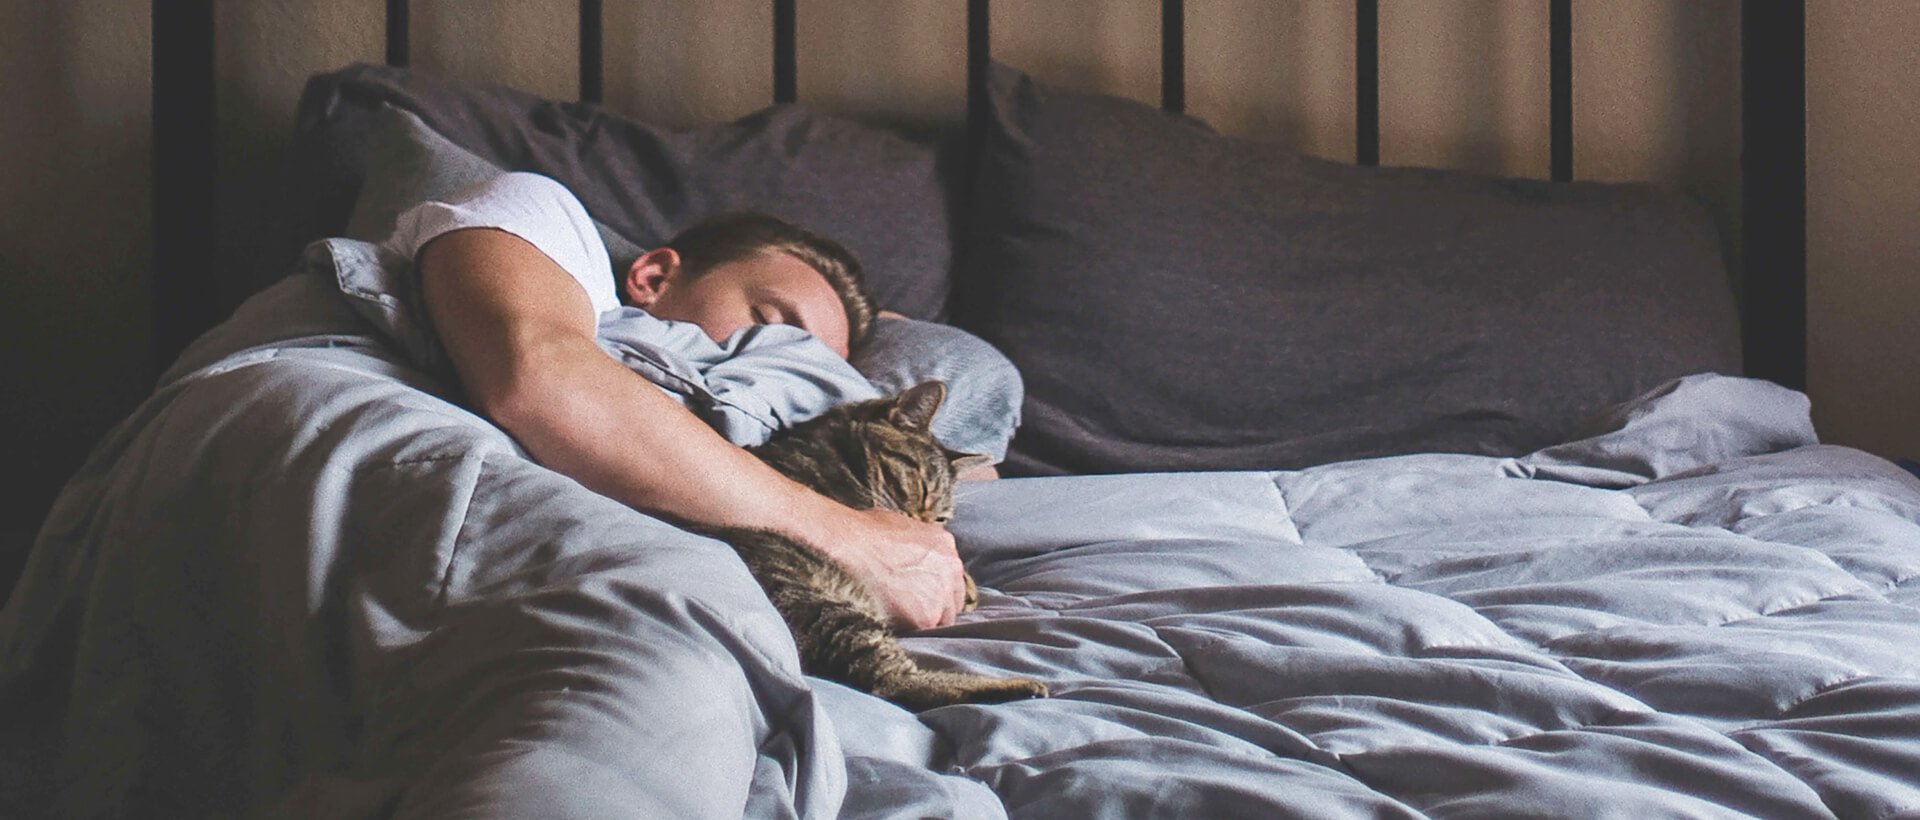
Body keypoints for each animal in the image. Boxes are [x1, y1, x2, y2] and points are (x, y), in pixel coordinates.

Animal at [710, 382, 1052, 710]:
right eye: (922, 487)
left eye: (941, 517)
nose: (922, 528)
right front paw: (967, 587)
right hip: (825, 606)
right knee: (889, 684)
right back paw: (1018, 686)